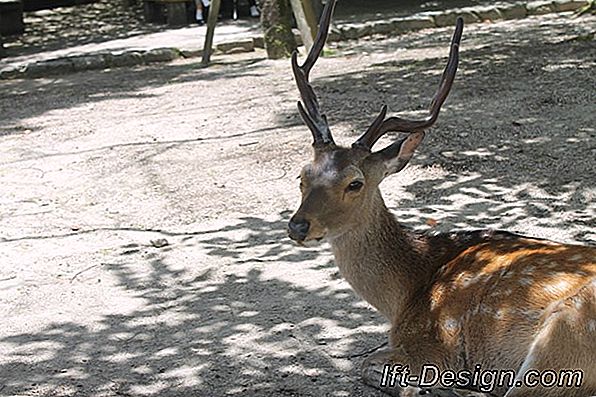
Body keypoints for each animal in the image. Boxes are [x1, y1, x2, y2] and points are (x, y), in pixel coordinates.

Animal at [286, 0, 592, 396]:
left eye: (355, 183)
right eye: (302, 175)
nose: (297, 226)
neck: (404, 295)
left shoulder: (432, 343)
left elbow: (368, 365)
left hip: (564, 333)